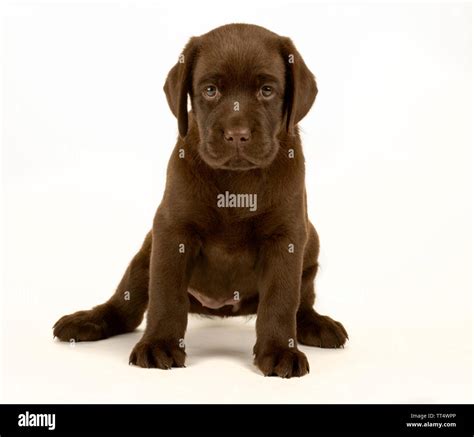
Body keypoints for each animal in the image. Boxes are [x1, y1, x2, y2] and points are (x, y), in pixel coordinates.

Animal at [53, 23, 348, 376]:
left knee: (302, 301)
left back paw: (316, 324)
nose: (237, 135)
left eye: (266, 90)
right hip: (144, 254)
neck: (237, 183)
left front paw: (279, 351)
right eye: (210, 90)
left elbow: (280, 299)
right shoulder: (172, 231)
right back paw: (88, 320)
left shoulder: (286, 237)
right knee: (126, 305)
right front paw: (159, 344)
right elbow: (167, 296)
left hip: (311, 243)